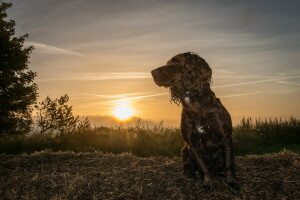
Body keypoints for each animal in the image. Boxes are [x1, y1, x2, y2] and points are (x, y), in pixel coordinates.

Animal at [152, 52, 239, 190]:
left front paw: (231, 182)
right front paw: (207, 184)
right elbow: (202, 167)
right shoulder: (191, 144)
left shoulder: (225, 137)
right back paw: (190, 174)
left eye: (175, 62)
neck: (194, 102)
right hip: (184, 151)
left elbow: (229, 164)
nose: (152, 72)